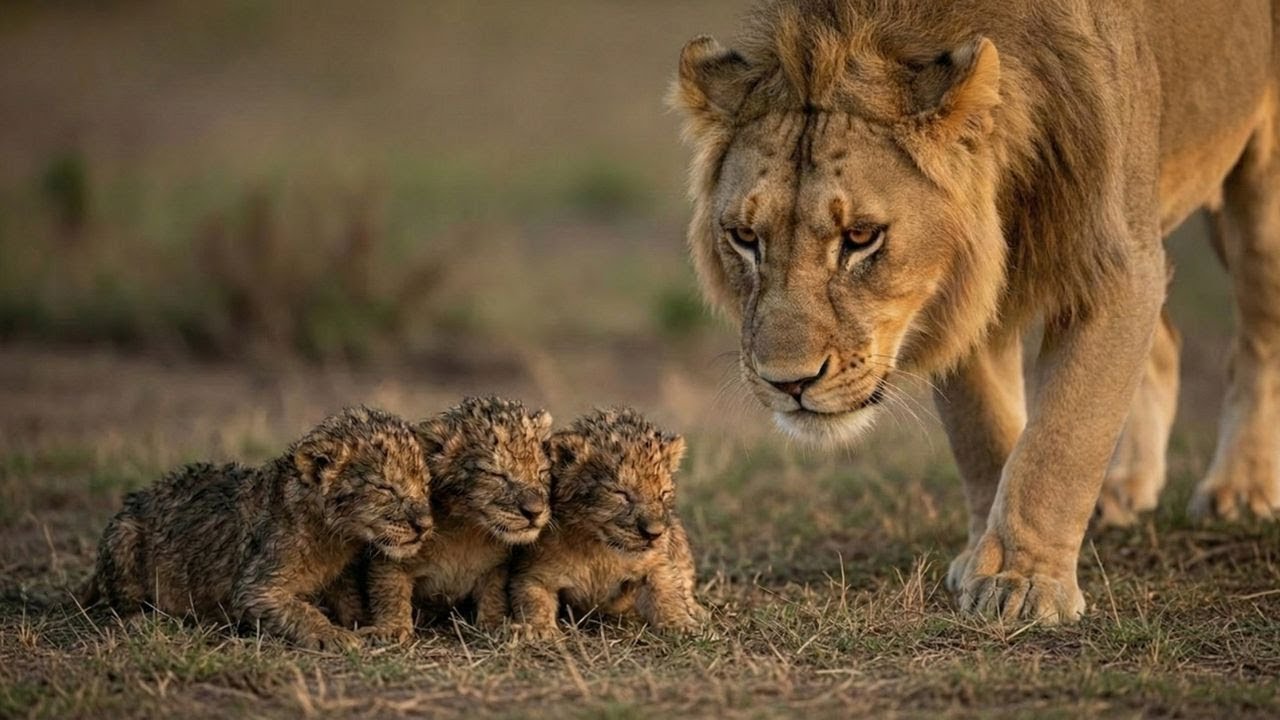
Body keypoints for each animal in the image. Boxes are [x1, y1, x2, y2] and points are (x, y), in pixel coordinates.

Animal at [80, 406, 433, 650]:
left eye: (426, 486)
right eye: (385, 488)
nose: (425, 526)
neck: (333, 537)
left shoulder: (340, 575)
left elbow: (350, 600)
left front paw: (366, 625)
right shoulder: (256, 586)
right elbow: (299, 611)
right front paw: (333, 635)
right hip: (123, 536)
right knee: (122, 601)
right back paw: (142, 620)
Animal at [509, 408, 705, 639]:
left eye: (663, 494)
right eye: (621, 494)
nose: (654, 534)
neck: (598, 548)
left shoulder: (655, 561)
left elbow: (666, 589)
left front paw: (682, 625)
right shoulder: (533, 571)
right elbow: (533, 598)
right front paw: (539, 629)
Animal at [671, 0, 1280, 623]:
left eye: (861, 236)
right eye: (745, 237)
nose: (787, 383)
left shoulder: (1113, 263)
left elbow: (1063, 435)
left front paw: (1024, 580)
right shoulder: (960, 292)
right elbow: (984, 430)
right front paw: (987, 555)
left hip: (1259, 204)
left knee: (1257, 343)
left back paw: (1241, 489)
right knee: (1165, 345)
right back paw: (1125, 486)